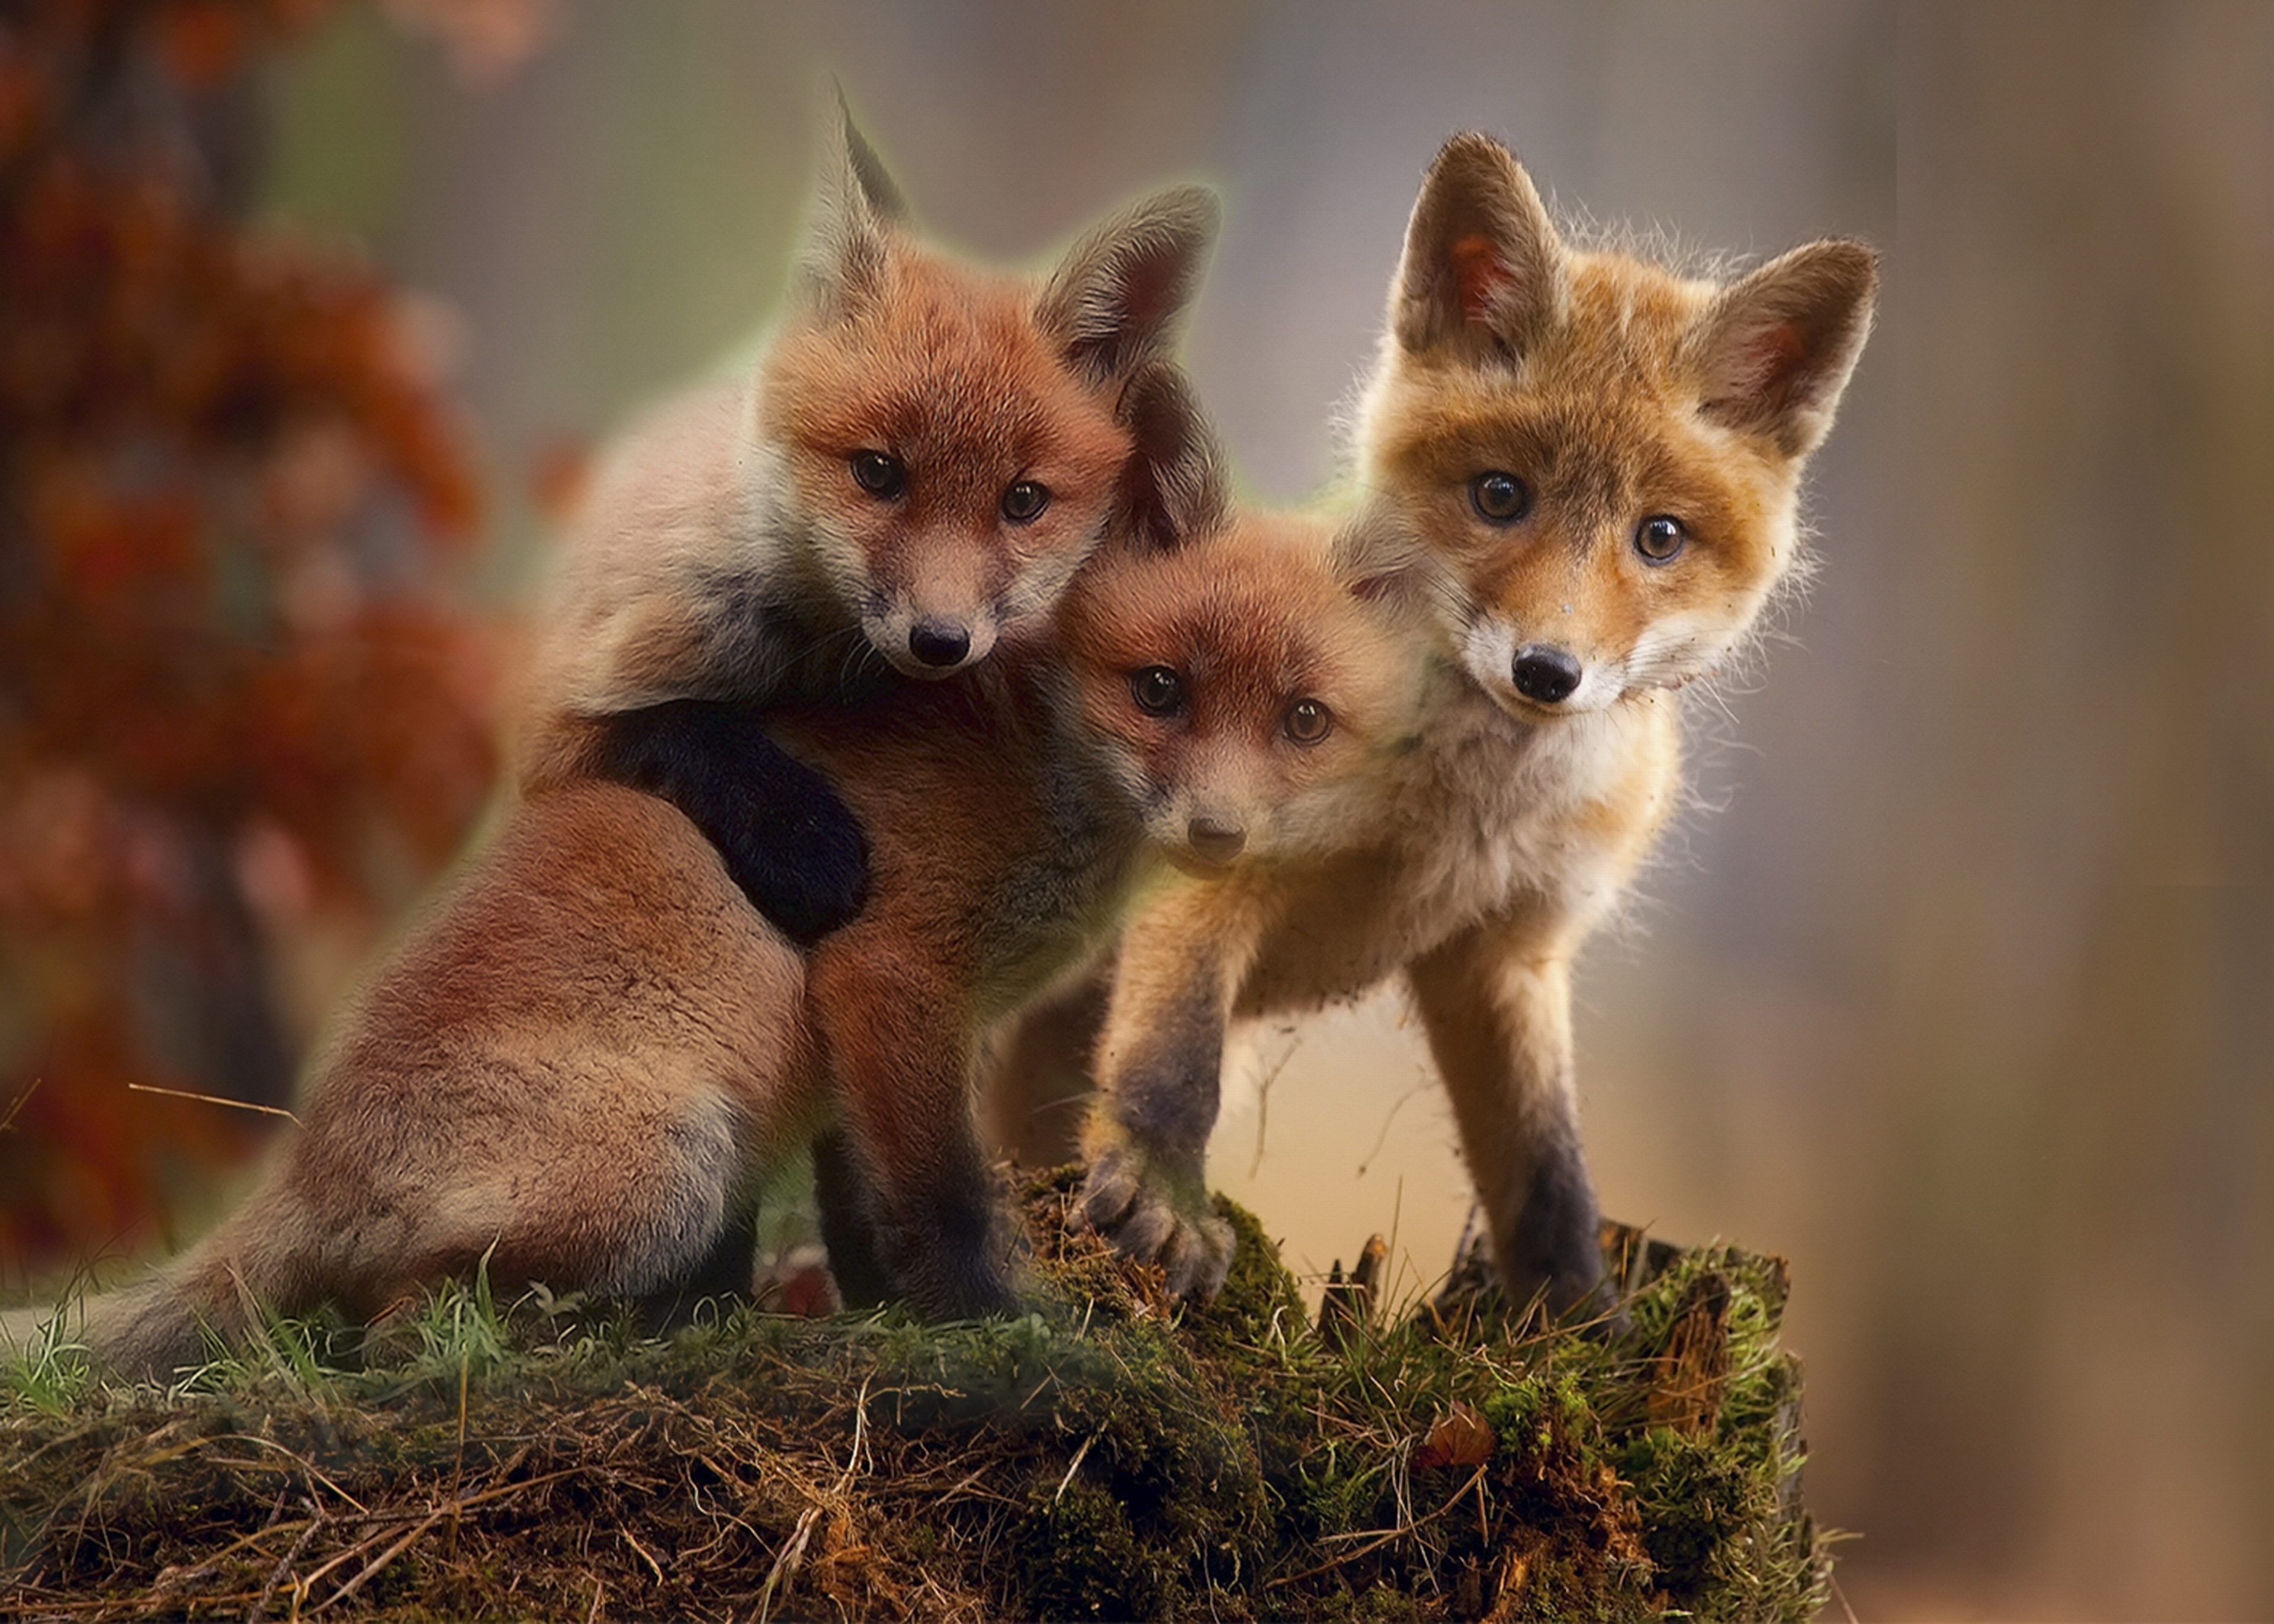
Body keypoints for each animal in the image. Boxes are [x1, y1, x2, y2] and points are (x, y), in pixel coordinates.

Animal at [0, 407, 1422, 1375]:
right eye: (1159, 690)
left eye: (1300, 720)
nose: (1224, 832)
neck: (1038, 768)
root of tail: (302, 1163)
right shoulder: (890, 971)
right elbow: (944, 1199)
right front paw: (996, 1333)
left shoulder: (885, 1035)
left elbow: (867, 1209)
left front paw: (892, 1313)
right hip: (675, 1167)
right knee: (395, 1332)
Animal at [518, 103, 1219, 945]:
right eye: (878, 472)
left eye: (1023, 501)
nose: (941, 641)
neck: (813, 661)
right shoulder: (556, 719)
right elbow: (683, 728)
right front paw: (800, 838)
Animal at [993, 132, 1878, 1312]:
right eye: (1500, 496)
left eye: (1659, 537)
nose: (1548, 671)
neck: (1457, 814)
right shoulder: (1217, 851)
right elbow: (1174, 1063)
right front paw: (1162, 1195)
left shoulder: (1508, 952)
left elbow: (1547, 1165)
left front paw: (1579, 1312)